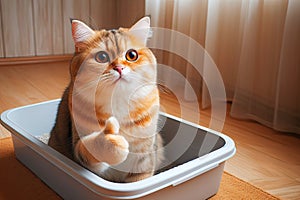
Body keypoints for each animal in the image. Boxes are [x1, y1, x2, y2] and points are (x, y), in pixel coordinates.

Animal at [48, 17, 164, 183]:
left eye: (132, 55)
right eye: (102, 57)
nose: (120, 68)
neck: (118, 101)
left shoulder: (144, 159)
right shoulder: (79, 149)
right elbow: (90, 151)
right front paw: (111, 141)